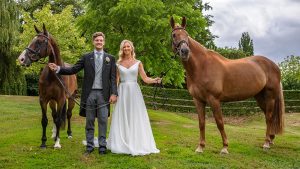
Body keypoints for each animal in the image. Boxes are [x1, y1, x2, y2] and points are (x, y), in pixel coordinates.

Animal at [170, 16, 284, 153]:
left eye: (187, 35)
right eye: (174, 35)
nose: (185, 51)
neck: (202, 66)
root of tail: (275, 65)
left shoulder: (214, 99)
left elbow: (220, 122)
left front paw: (224, 147)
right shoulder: (198, 100)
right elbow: (201, 123)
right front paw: (200, 147)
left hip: (270, 96)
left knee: (269, 117)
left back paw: (266, 143)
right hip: (260, 97)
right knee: (268, 117)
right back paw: (271, 139)